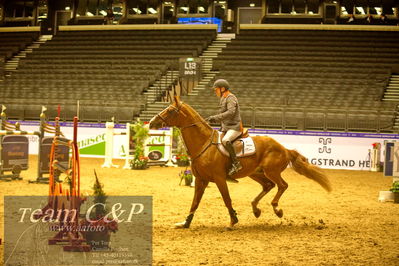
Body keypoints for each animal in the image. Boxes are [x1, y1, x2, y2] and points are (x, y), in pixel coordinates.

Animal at [150, 97, 332, 229]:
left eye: (170, 110)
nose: (152, 122)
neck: (204, 144)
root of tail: (284, 148)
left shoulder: (219, 179)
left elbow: (227, 199)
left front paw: (233, 221)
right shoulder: (201, 180)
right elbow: (195, 202)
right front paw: (186, 223)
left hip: (271, 171)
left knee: (282, 185)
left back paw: (277, 209)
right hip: (255, 173)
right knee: (268, 186)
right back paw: (256, 209)